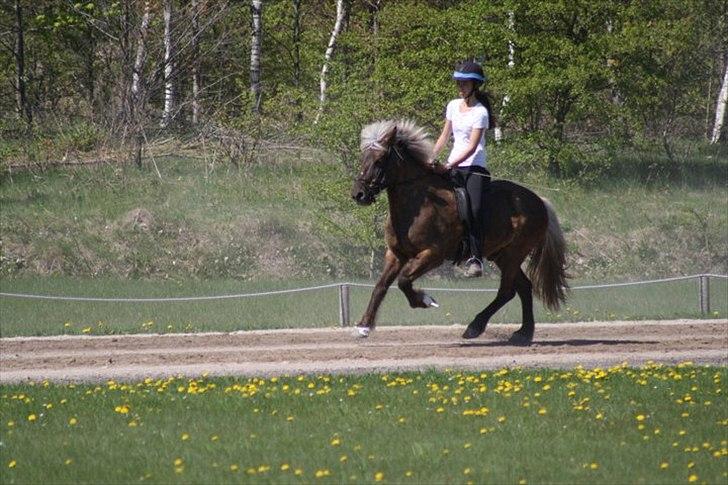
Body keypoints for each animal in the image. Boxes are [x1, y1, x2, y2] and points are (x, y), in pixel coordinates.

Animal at [352, 119, 568, 344]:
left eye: (380, 160)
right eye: (363, 158)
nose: (359, 194)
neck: (418, 204)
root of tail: (539, 201)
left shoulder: (433, 254)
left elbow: (404, 280)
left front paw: (425, 300)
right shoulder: (396, 254)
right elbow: (380, 286)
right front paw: (364, 326)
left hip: (514, 253)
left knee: (506, 291)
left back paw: (475, 327)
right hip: (501, 254)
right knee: (524, 287)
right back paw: (523, 333)